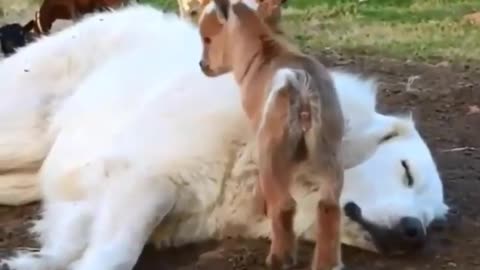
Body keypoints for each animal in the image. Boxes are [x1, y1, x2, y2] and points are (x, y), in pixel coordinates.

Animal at [0, 3, 448, 270]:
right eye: (406, 172)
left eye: (434, 221)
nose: (415, 233)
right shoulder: (144, 179)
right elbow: (116, 255)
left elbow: (73, 243)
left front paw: (32, 261)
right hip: (22, 135)